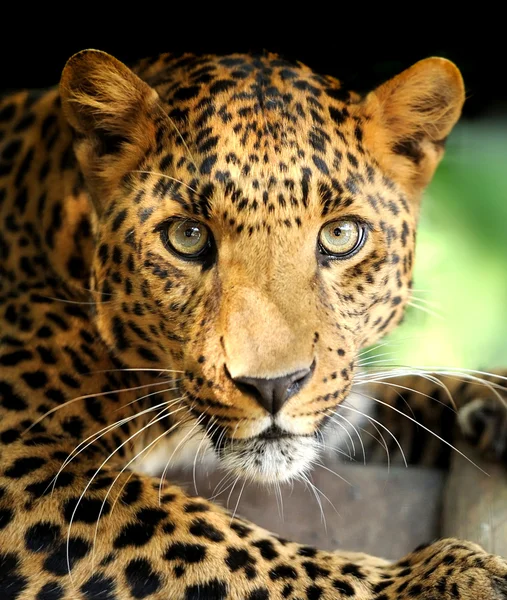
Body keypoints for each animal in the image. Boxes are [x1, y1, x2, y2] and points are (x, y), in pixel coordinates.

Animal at [0, 48, 507, 600]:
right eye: (188, 235)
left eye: (341, 234)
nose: (274, 387)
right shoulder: (26, 458)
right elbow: (216, 543)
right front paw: (445, 579)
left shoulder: (345, 398)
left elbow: (410, 386)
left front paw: (493, 400)